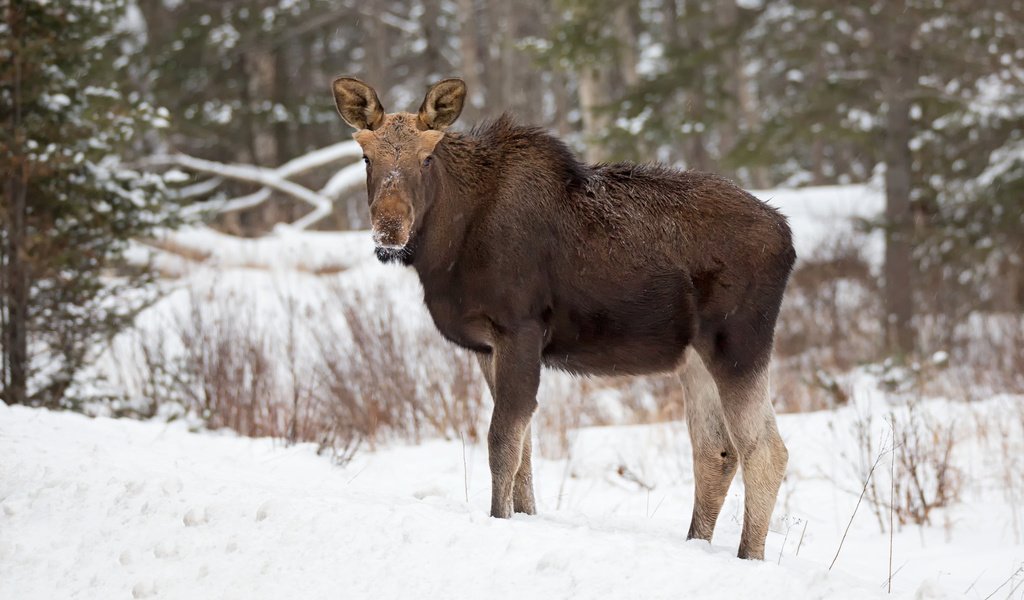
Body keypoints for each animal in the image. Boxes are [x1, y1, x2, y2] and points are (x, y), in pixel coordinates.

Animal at [331, 77, 794, 556]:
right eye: (367, 157)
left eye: (426, 157)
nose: (389, 229)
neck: (447, 249)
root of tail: (788, 236)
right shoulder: (485, 345)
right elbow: (524, 451)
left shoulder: (519, 327)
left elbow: (503, 442)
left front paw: (499, 518)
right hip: (695, 357)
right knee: (715, 451)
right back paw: (696, 543)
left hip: (737, 343)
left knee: (766, 451)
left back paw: (748, 555)